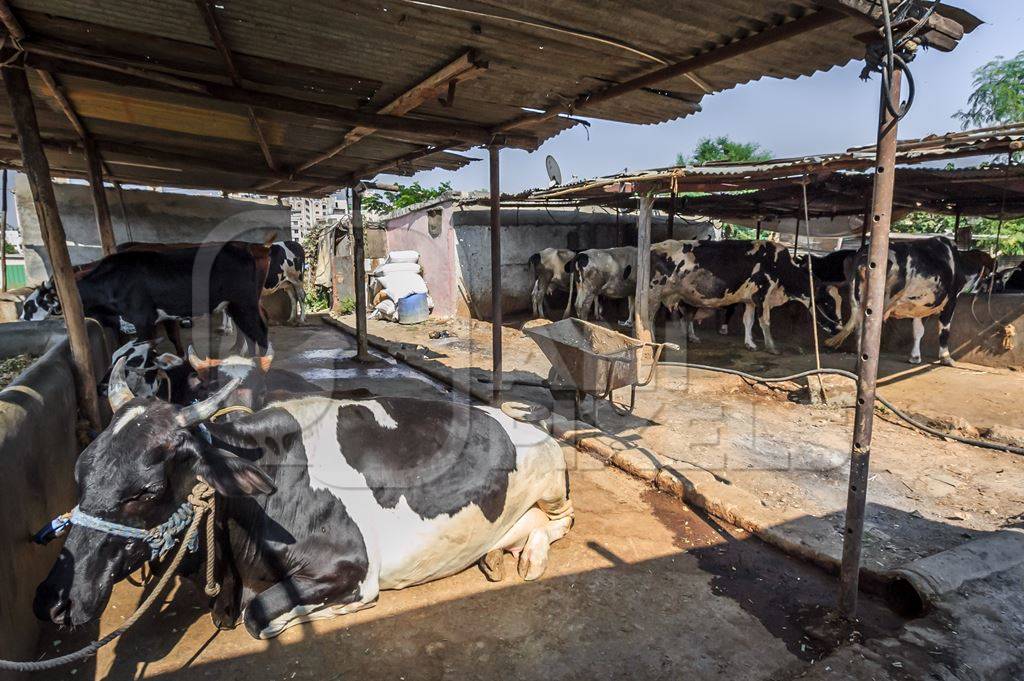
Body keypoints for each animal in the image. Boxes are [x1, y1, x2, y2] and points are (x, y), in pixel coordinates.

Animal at [647, 238, 815, 352]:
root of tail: (653, 246)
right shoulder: (762, 296)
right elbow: (765, 322)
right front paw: (772, 347)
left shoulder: (750, 300)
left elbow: (748, 321)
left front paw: (750, 344)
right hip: (653, 292)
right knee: (649, 316)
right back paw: (652, 340)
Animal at [823, 236, 991, 364]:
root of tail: (864, 257)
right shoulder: (951, 300)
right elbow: (944, 330)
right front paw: (946, 357)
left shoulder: (916, 305)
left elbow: (918, 331)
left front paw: (915, 357)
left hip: (857, 301)